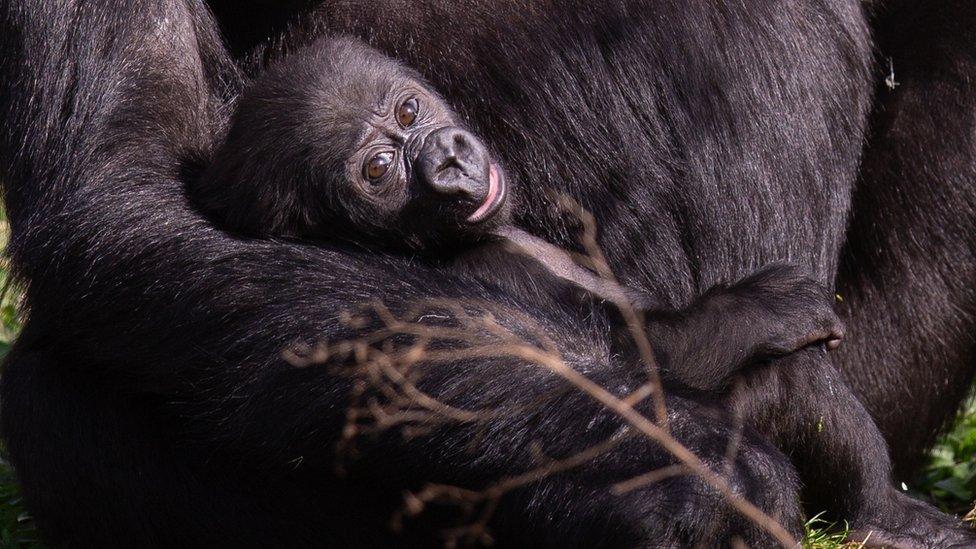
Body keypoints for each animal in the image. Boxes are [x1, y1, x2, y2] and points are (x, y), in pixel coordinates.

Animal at [0, 1, 972, 548]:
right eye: (378, 169)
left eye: (407, 109)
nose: (449, 158)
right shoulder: (498, 265)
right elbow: (122, 195)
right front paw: (683, 477)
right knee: (51, 394)